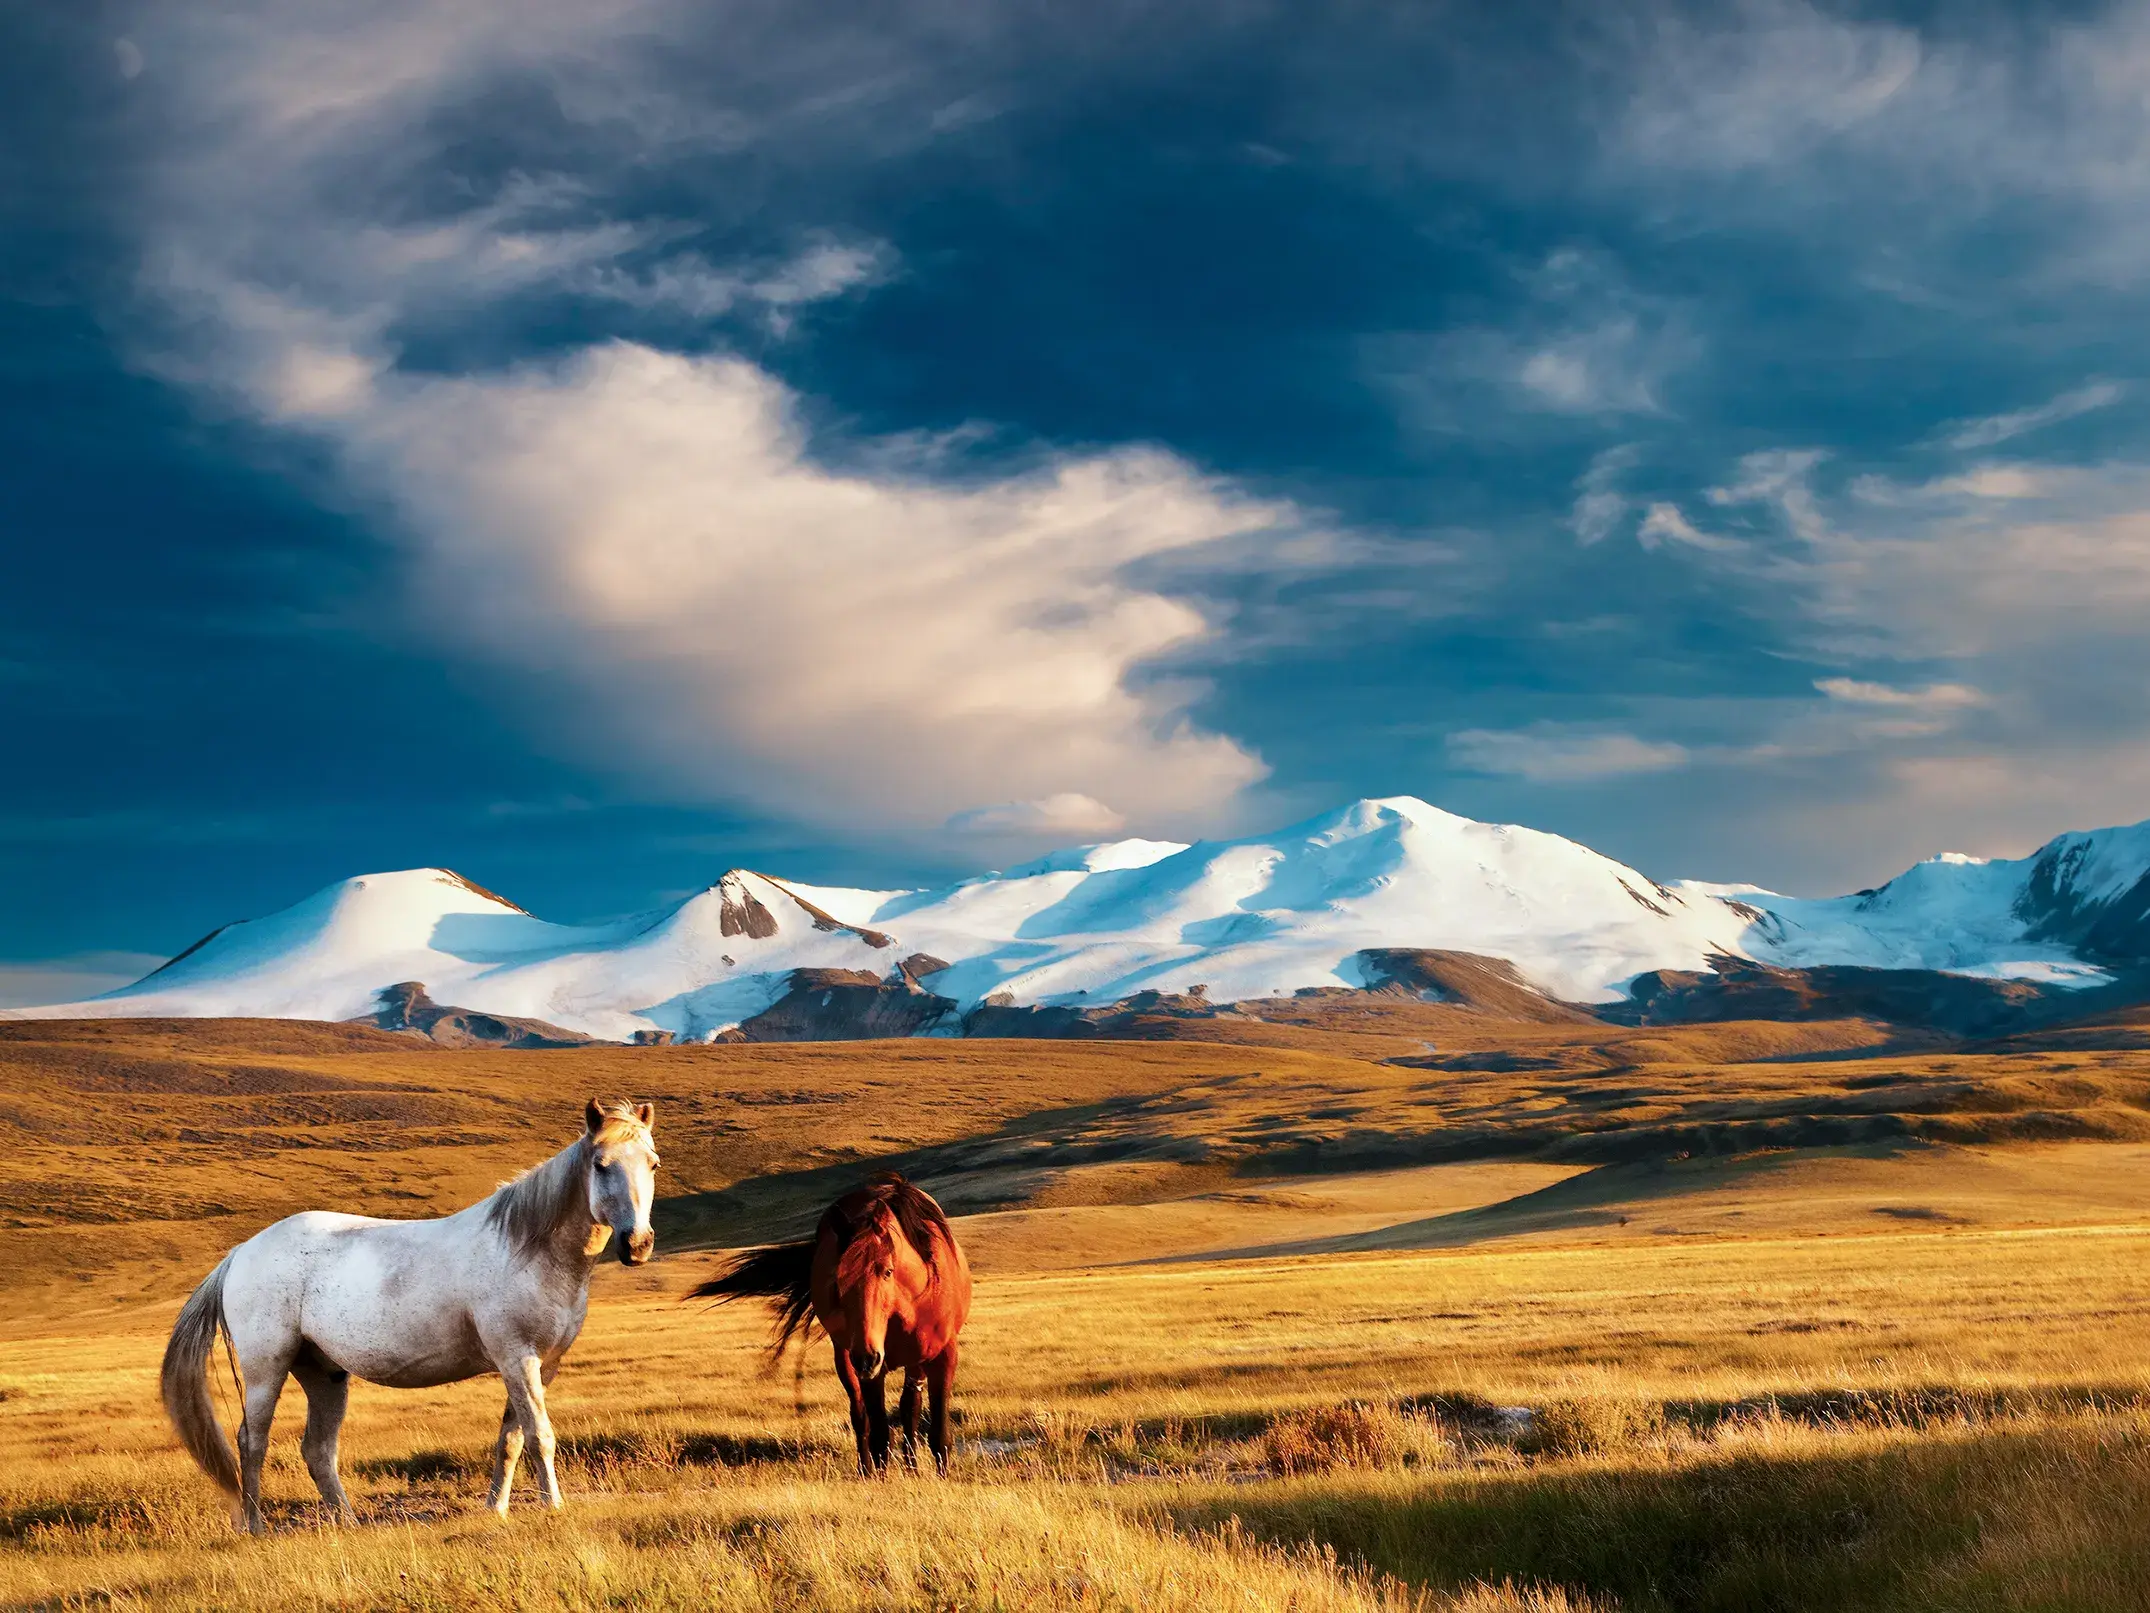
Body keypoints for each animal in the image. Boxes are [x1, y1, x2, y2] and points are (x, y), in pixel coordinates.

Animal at [160, 1098, 659, 1533]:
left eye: (652, 1163)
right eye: (601, 1164)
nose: (637, 1244)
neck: (527, 1248)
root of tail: (241, 1252)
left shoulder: (542, 1365)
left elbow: (511, 1440)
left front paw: (496, 1509)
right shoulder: (518, 1358)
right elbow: (540, 1435)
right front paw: (552, 1506)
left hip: (324, 1374)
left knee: (318, 1450)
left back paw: (348, 1523)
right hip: (267, 1368)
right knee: (252, 1441)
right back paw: (256, 1526)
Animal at [690, 1172, 971, 1474]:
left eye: (887, 1271)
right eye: (837, 1279)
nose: (867, 1357)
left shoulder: (943, 1356)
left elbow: (938, 1434)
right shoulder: (873, 1368)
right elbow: (880, 1435)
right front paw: (881, 1477)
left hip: (910, 1361)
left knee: (910, 1407)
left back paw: (911, 1467)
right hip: (847, 1357)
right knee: (861, 1416)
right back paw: (868, 1471)